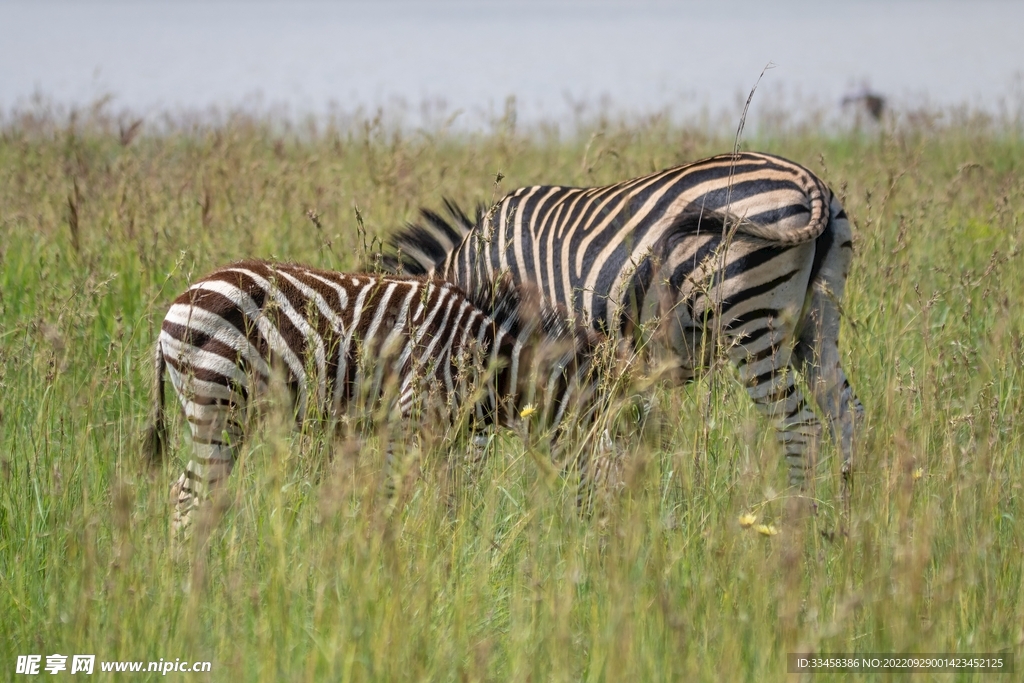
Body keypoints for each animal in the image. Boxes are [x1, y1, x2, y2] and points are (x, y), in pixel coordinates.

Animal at [144, 259, 606, 532]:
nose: (606, 546)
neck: (485, 357)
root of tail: (180, 300)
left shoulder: (452, 437)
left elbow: (452, 506)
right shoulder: (407, 419)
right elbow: (388, 500)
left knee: (187, 491)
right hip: (220, 403)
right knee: (190, 496)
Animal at [385, 152, 864, 489]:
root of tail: (809, 181)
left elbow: (482, 454)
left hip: (750, 322)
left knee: (800, 429)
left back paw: (800, 528)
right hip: (816, 325)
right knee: (846, 414)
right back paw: (846, 524)